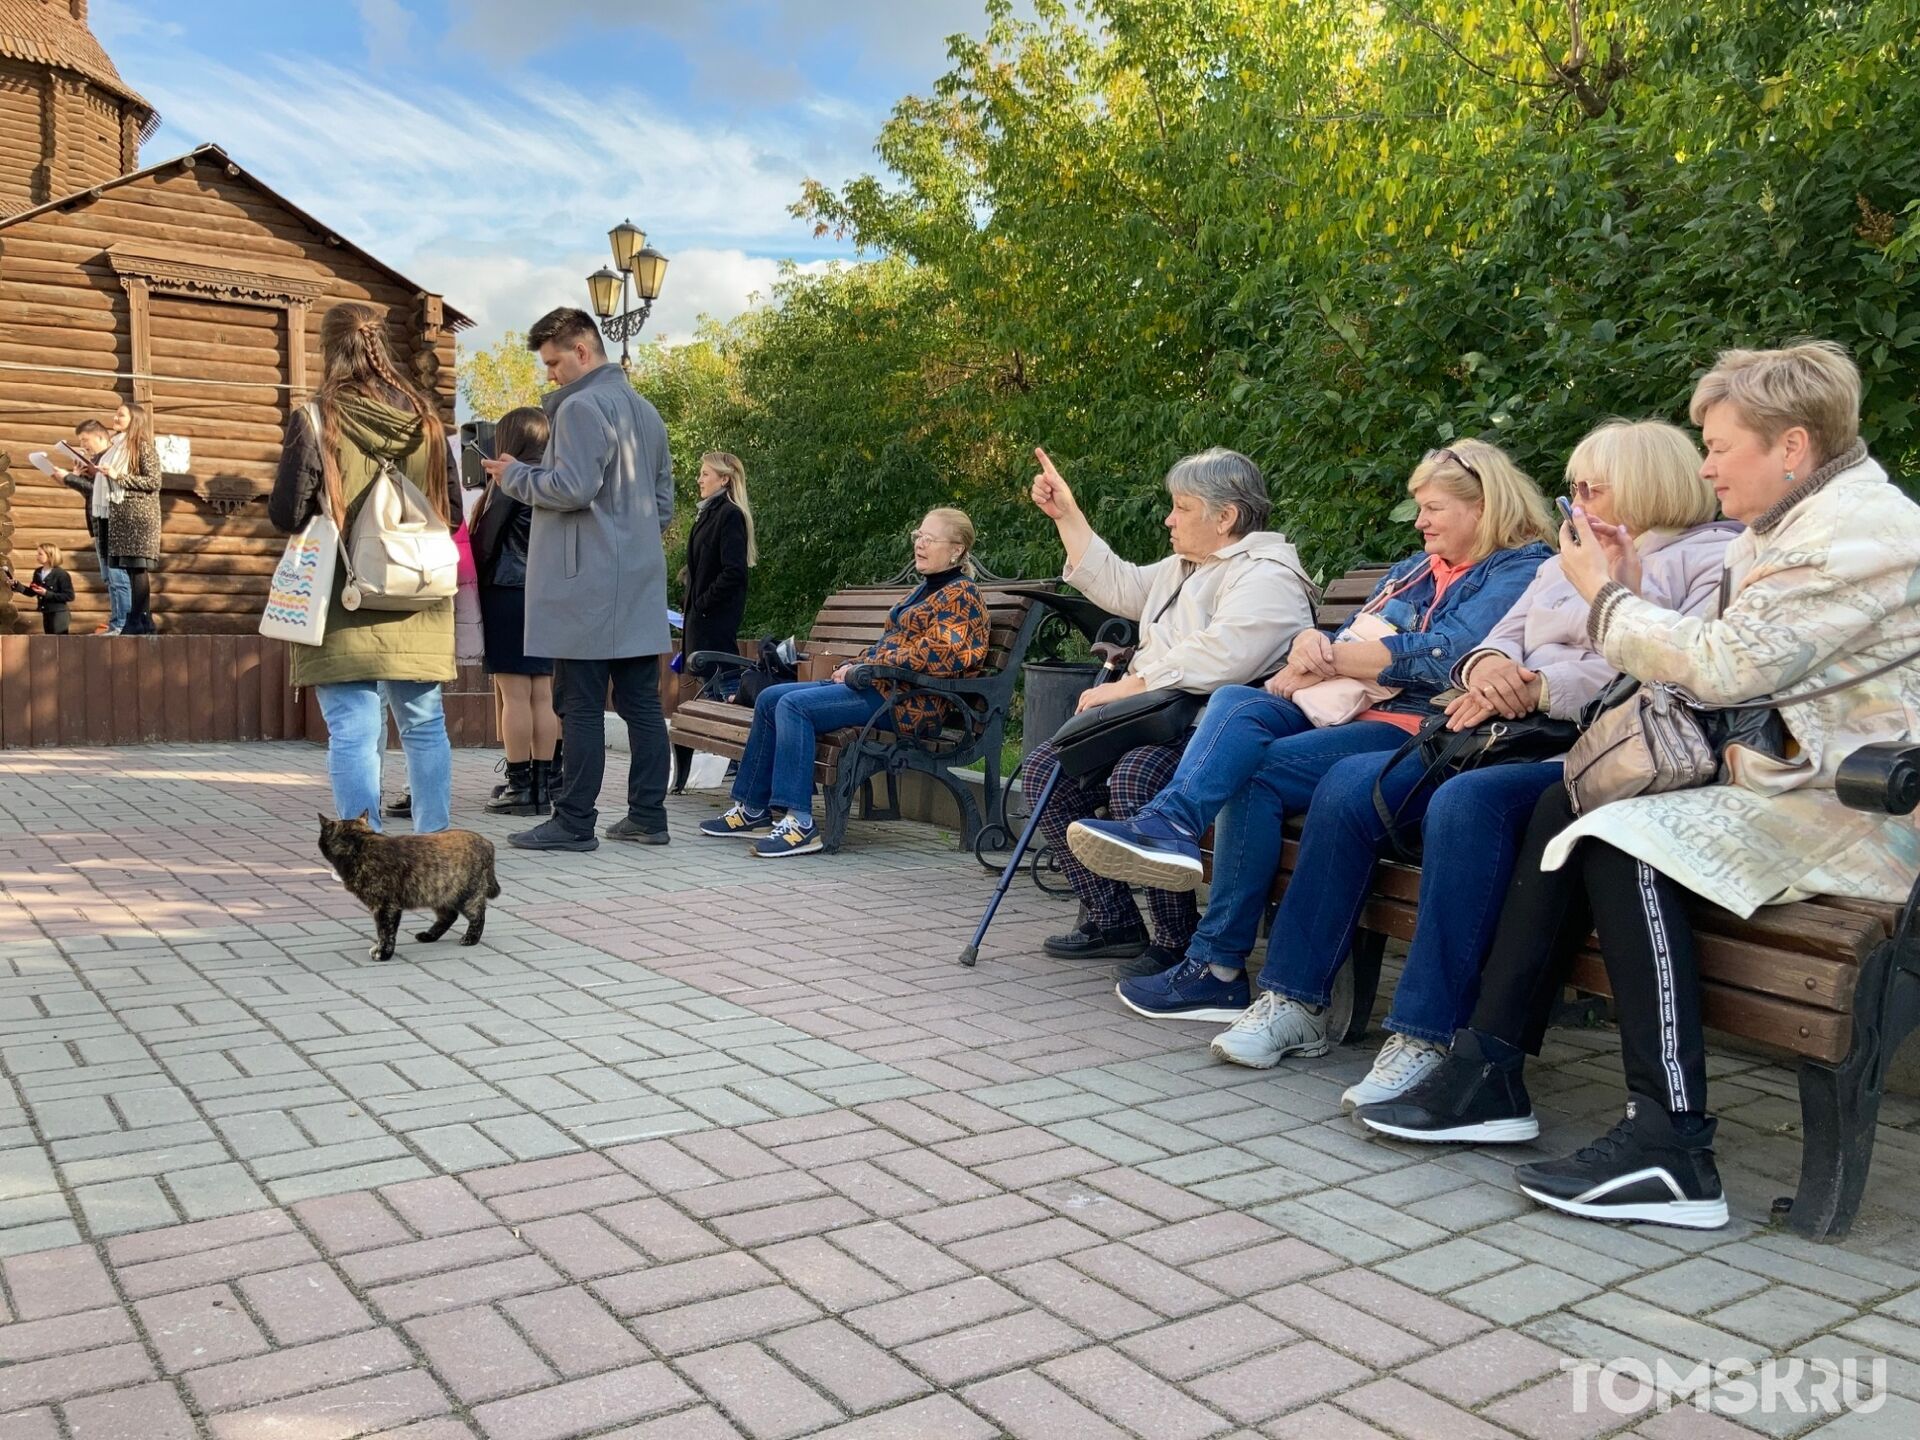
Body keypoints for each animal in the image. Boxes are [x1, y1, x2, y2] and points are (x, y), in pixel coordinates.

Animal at [316, 817, 499, 963]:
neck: (360, 844)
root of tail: (487, 843)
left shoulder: (386, 907)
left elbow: (385, 933)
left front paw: (383, 953)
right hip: (437, 892)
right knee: (449, 916)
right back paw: (429, 936)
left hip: (467, 896)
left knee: (478, 915)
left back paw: (470, 938)